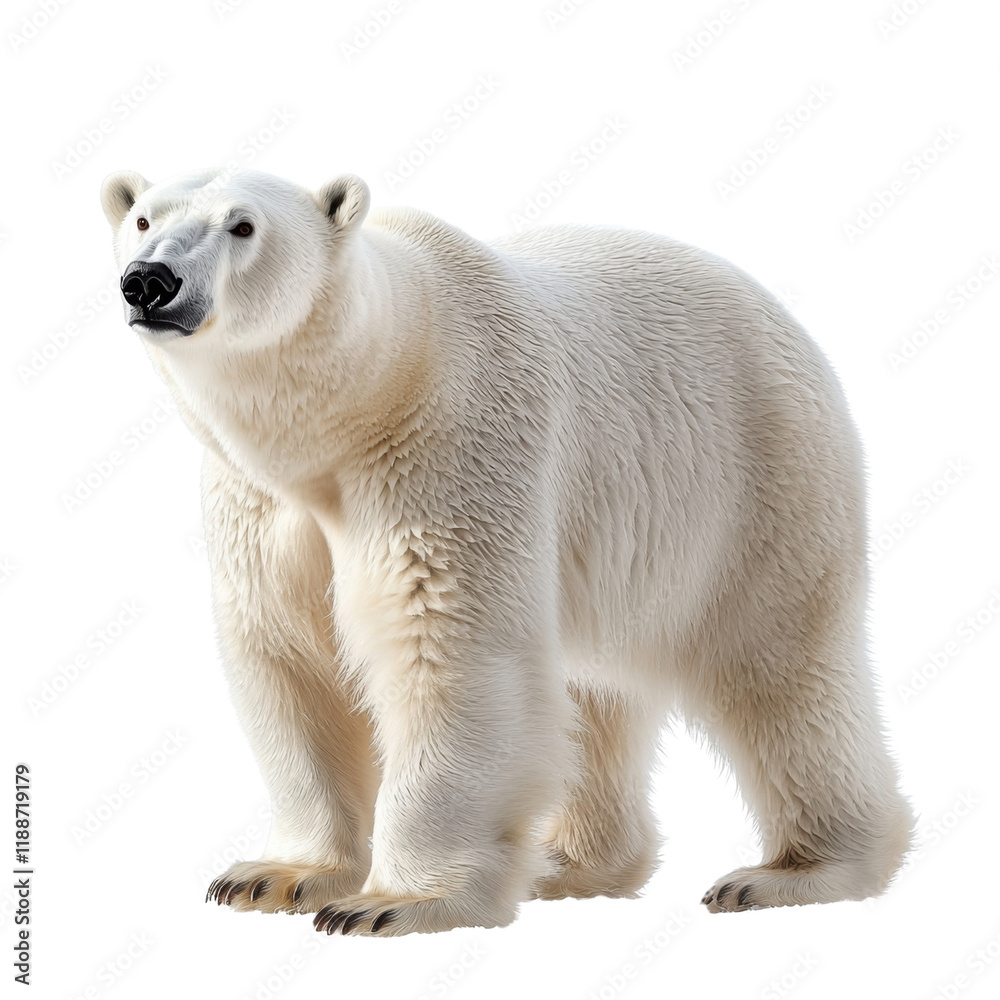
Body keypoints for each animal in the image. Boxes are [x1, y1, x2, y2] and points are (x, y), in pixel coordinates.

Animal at [101, 167, 913, 936]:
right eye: (143, 218)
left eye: (242, 225)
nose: (150, 280)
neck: (356, 405)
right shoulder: (260, 507)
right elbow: (291, 658)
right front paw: (276, 875)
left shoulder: (450, 446)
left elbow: (450, 652)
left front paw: (393, 902)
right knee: (595, 692)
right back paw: (566, 862)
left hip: (754, 474)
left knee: (779, 667)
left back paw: (792, 872)